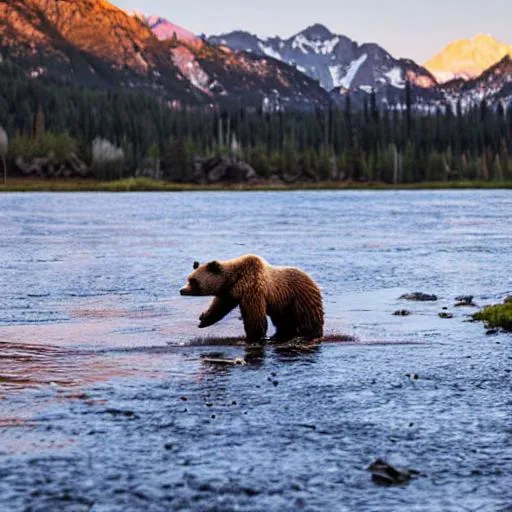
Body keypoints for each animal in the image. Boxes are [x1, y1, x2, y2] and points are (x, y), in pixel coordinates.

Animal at [180, 253, 324, 342]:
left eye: (193, 281)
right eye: (189, 278)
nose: (182, 290)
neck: (235, 278)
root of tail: (312, 279)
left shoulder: (252, 288)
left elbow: (254, 315)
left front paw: (253, 336)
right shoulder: (230, 292)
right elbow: (219, 306)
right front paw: (203, 320)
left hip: (300, 297)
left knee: (307, 317)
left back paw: (310, 334)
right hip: (283, 304)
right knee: (283, 320)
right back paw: (280, 335)